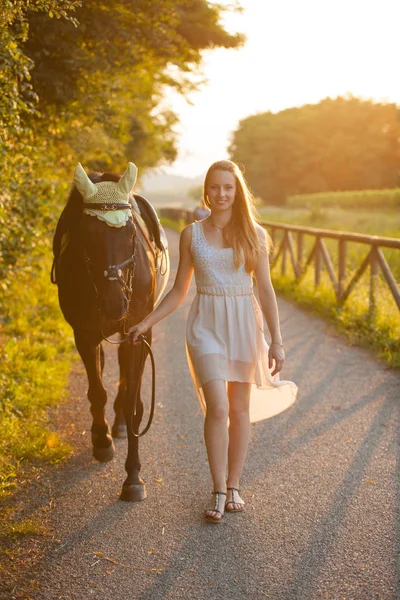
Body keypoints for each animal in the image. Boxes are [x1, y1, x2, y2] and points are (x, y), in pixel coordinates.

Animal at [50, 161, 170, 502]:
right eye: (87, 234)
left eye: (130, 233)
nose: (115, 304)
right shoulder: (84, 334)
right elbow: (97, 391)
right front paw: (102, 441)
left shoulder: (138, 334)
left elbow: (132, 401)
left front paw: (133, 477)